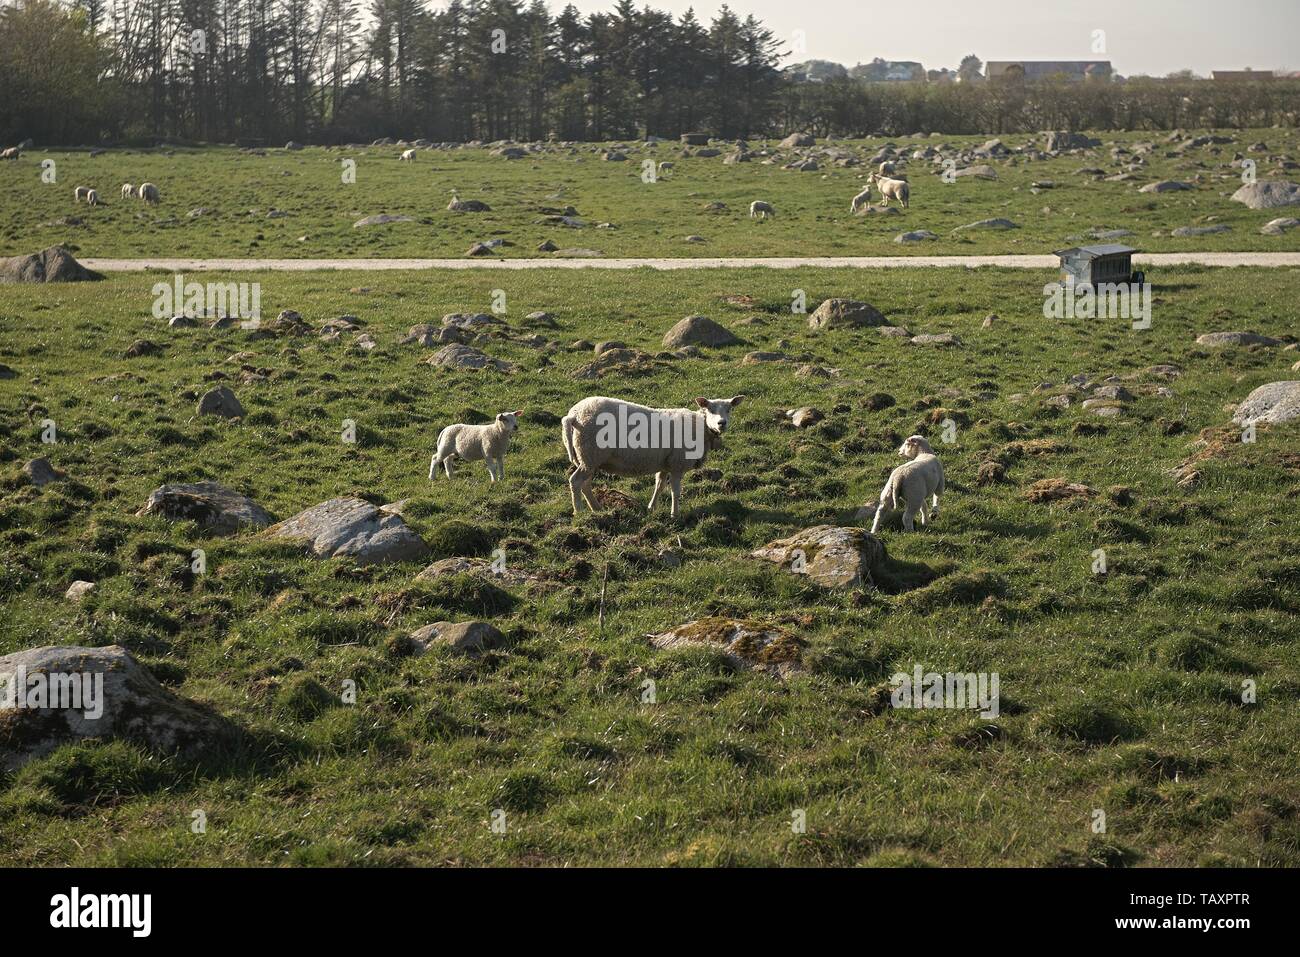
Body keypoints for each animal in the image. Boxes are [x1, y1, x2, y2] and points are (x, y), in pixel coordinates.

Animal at [561, 395, 744, 519]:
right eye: (710, 409)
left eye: (729, 409)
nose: (722, 423)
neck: (701, 428)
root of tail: (574, 415)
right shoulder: (677, 464)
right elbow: (675, 491)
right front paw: (675, 514)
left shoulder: (665, 464)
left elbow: (659, 485)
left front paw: (652, 507)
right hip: (590, 454)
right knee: (576, 482)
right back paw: (579, 511)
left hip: (588, 458)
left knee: (585, 484)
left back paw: (596, 508)